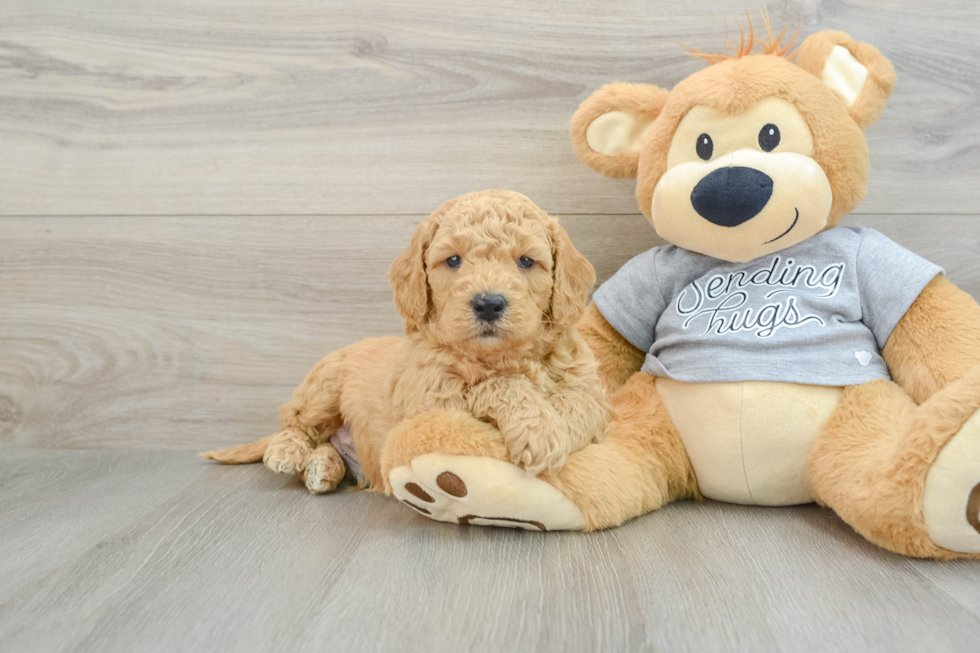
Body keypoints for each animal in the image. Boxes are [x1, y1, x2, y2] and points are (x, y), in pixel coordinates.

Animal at [202, 191, 608, 492]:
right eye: (453, 260)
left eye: (526, 261)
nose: (488, 304)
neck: (501, 356)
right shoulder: (428, 401)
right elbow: (497, 385)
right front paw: (539, 431)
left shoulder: (588, 385)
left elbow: (581, 406)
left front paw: (556, 432)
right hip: (323, 386)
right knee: (295, 421)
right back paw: (287, 451)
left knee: (324, 447)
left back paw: (323, 467)